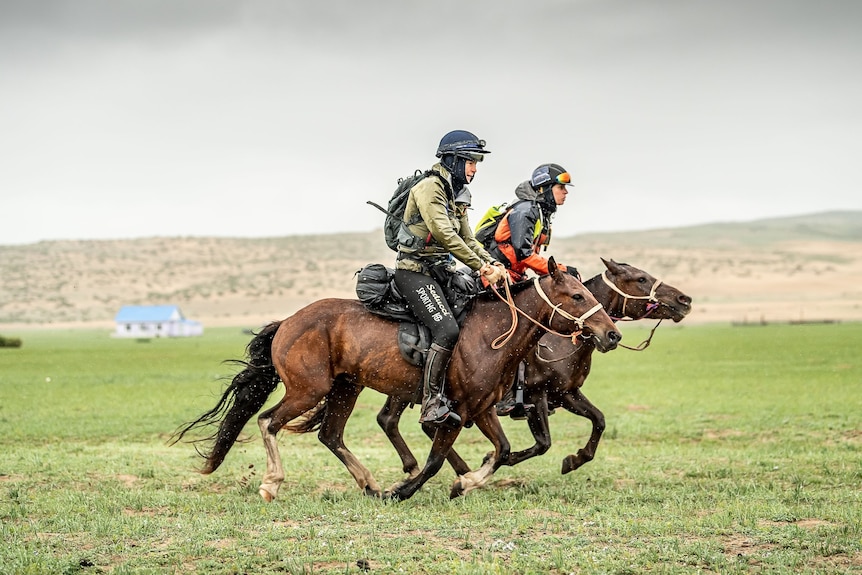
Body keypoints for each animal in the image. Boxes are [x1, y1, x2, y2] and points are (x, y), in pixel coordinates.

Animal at [174, 258, 620, 502]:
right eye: (577, 297)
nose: (612, 334)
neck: (492, 332)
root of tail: (288, 321)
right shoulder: (456, 411)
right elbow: (437, 459)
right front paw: (408, 490)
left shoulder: (481, 408)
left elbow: (503, 449)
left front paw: (466, 482)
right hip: (309, 389)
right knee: (269, 421)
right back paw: (272, 483)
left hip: (346, 389)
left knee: (331, 435)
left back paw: (369, 484)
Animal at [372, 258, 696, 498]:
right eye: (641, 279)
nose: (685, 299)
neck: (558, 339)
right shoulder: (535, 396)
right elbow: (542, 444)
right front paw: (487, 462)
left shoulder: (565, 394)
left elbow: (599, 420)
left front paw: (574, 460)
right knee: (397, 421)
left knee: (395, 421)